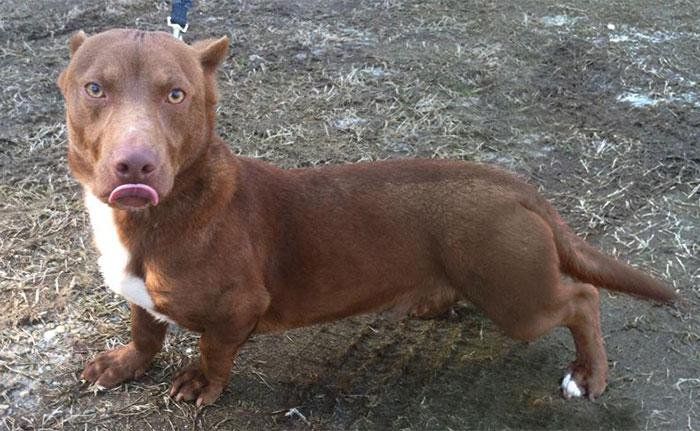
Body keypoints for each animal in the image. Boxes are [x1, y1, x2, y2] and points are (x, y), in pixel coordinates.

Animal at [57, 29, 676, 408]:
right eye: (95, 88)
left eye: (177, 95)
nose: (135, 163)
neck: (160, 215)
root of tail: (516, 186)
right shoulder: (141, 297)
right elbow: (145, 330)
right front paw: (122, 364)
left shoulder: (239, 309)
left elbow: (213, 351)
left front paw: (199, 384)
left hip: (516, 297)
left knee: (582, 299)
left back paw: (589, 374)